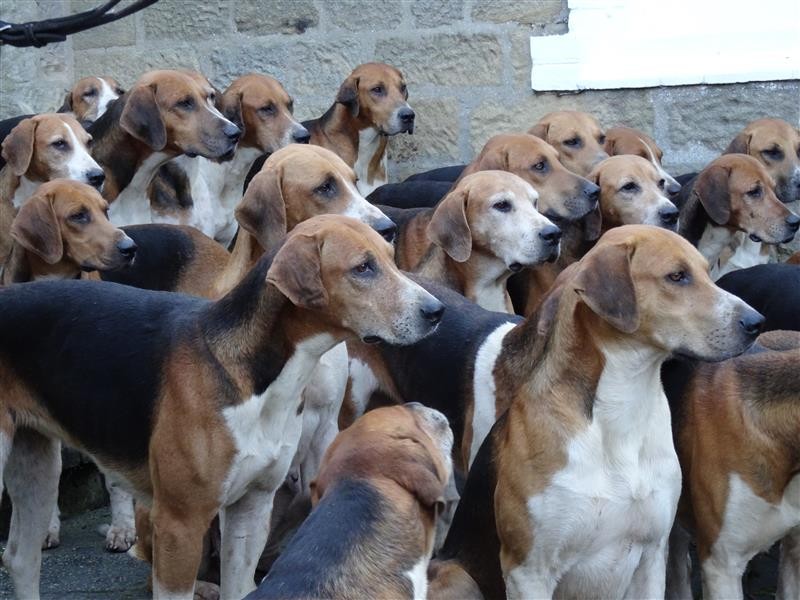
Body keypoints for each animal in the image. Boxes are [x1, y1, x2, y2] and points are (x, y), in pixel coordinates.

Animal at [432, 225, 763, 599]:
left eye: (707, 272)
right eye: (677, 276)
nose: (756, 322)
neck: (625, 407)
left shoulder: (653, 555)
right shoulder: (528, 572)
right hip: (456, 575)